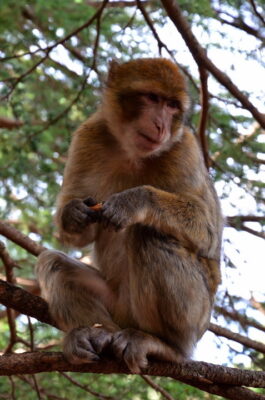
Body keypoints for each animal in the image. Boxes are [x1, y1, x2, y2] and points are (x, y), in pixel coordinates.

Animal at [34, 57, 221, 374]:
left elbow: (208, 234)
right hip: (116, 305)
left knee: (148, 233)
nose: (161, 125)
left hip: (195, 315)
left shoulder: (184, 149)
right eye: (153, 98)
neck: (133, 152)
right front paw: (73, 213)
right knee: (53, 263)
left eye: (172, 105)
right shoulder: (88, 136)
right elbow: (77, 231)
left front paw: (133, 201)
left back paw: (165, 346)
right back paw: (93, 334)